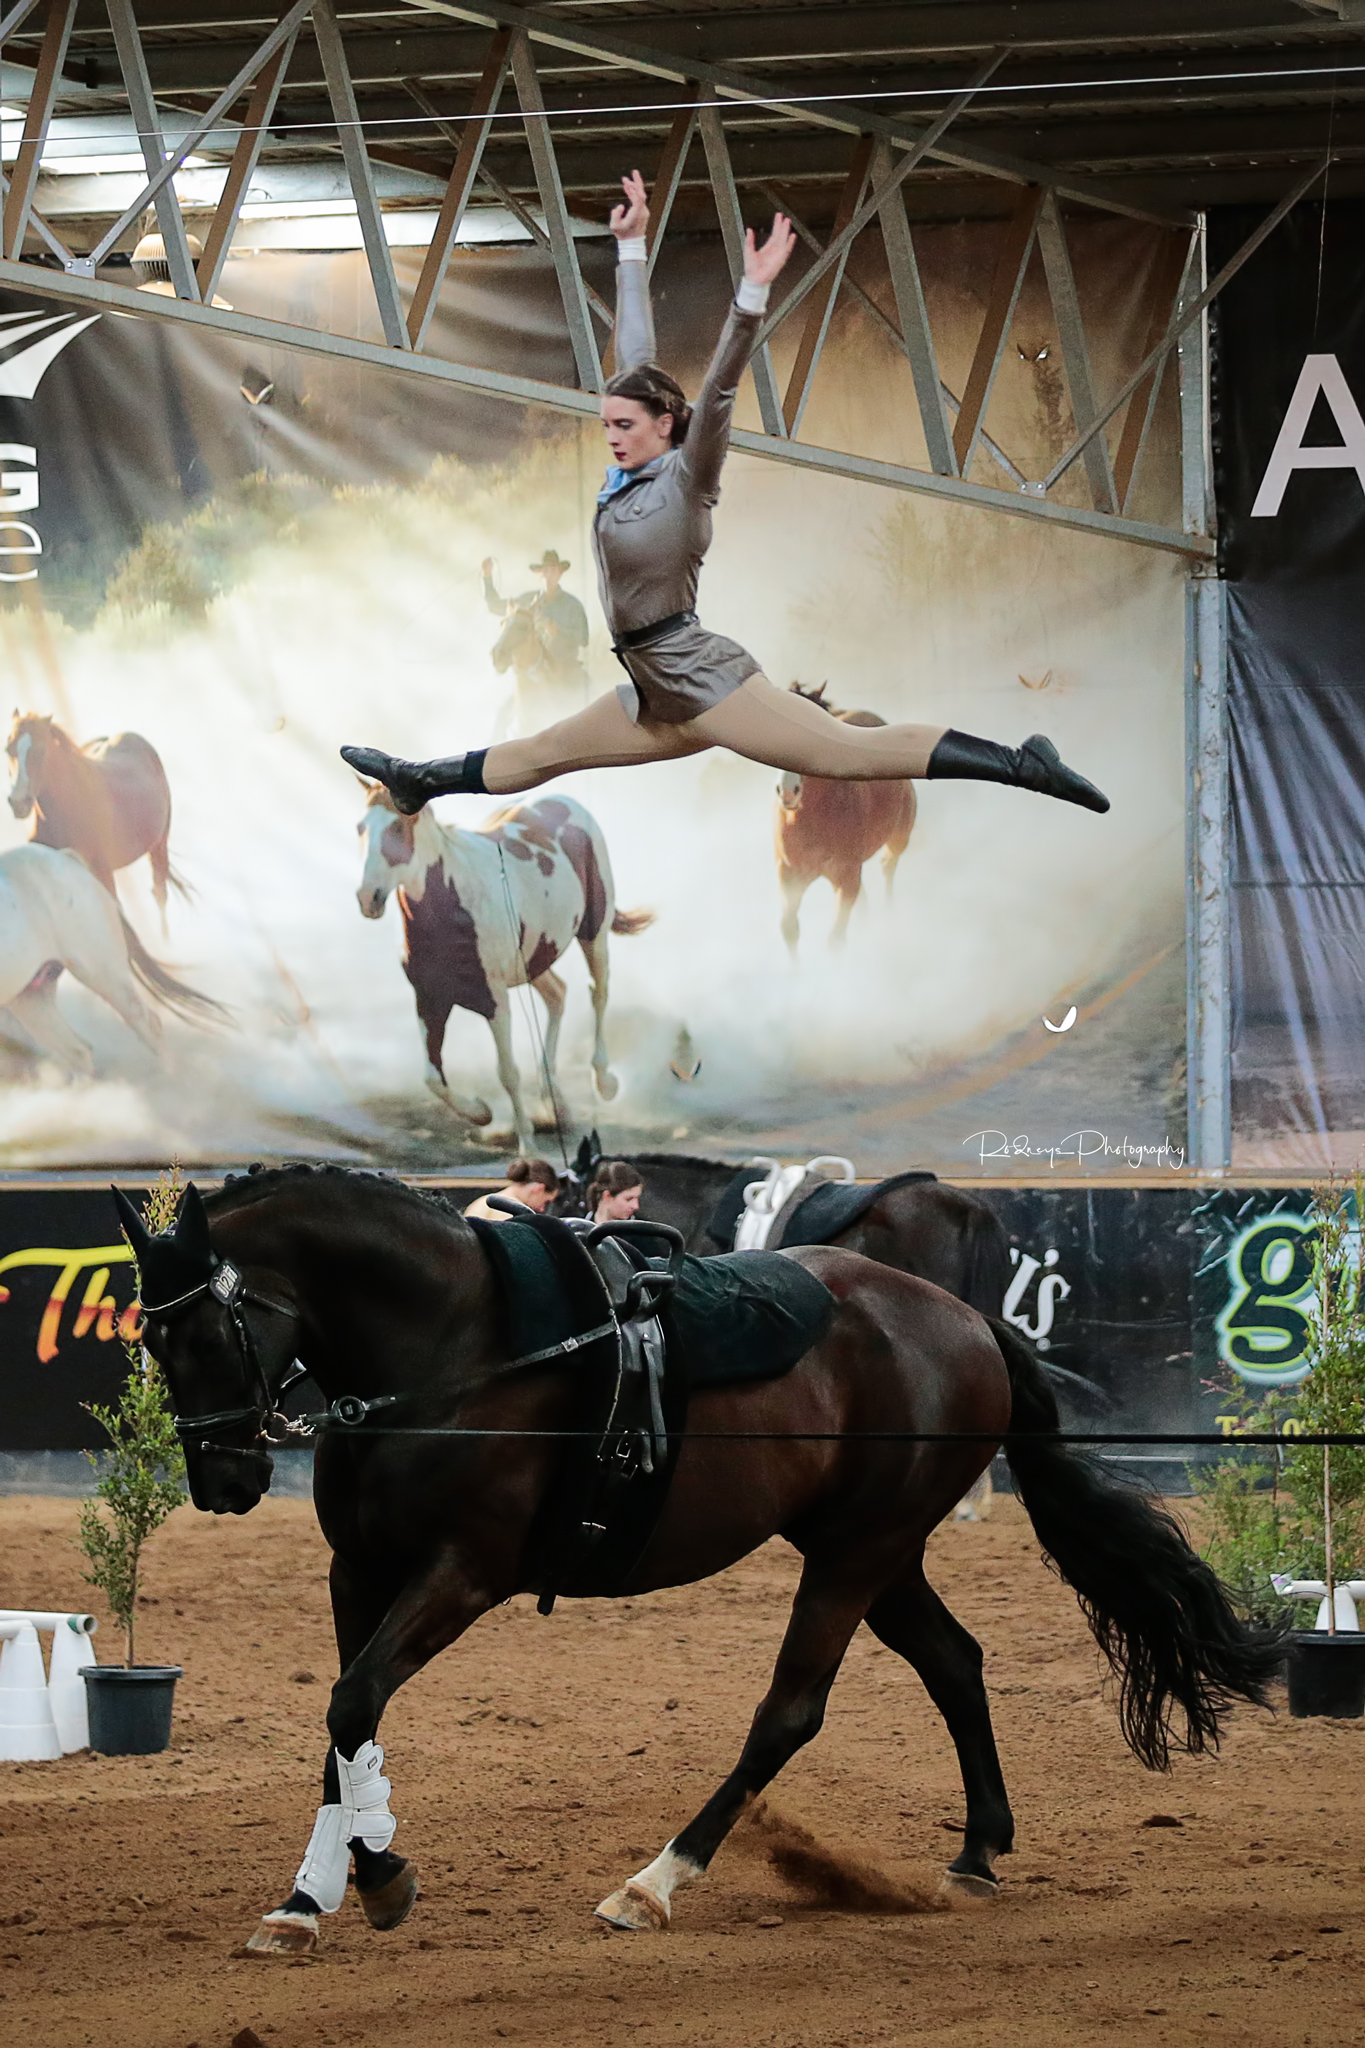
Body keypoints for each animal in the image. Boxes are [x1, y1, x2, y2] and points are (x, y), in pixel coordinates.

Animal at [117, 1163, 1285, 1957]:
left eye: (203, 1333)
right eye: (149, 1339)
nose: (224, 1478)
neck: (457, 1343)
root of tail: (966, 1321)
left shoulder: (462, 1572)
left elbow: (353, 1702)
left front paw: (383, 1876)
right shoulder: (357, 1571)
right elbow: (342, 1724)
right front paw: (311, 1898)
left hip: (855, 1554)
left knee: (791, 1712)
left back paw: (654, 1882)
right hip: (874, 1550)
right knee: (955, 1662)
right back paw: (975, 1853)